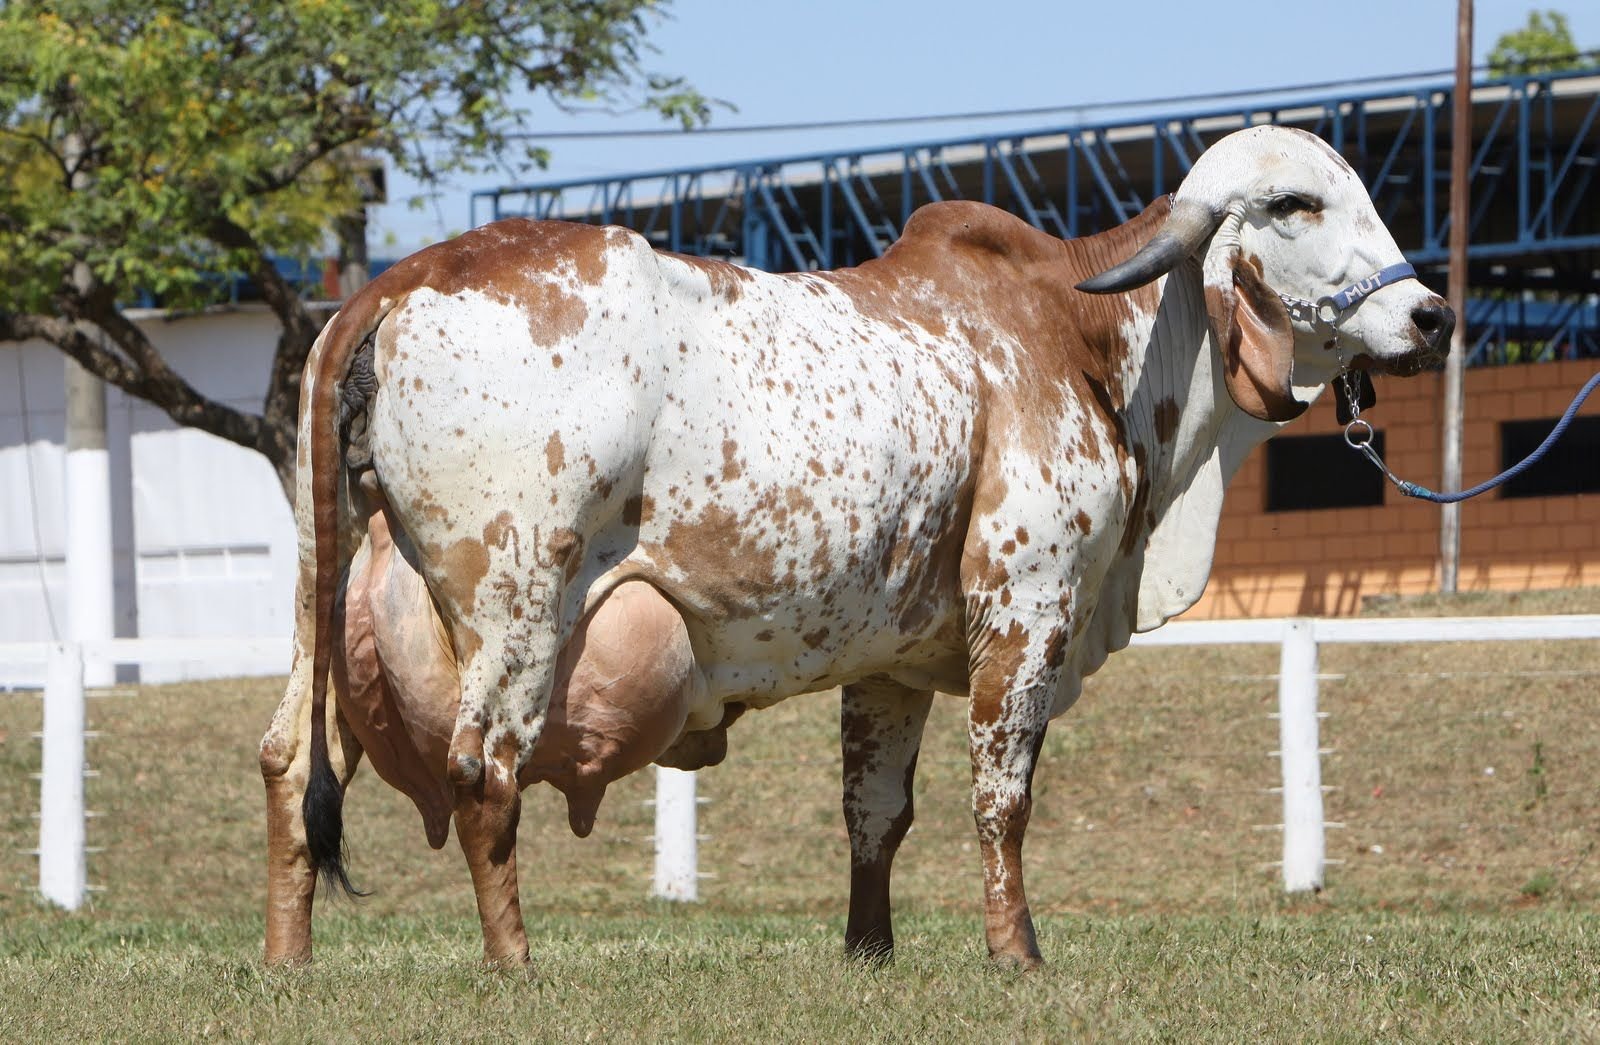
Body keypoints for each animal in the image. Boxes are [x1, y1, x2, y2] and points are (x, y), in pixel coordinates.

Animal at [259, 125, 1451, 969]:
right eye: (1295, 203)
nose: (1432, 316)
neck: (1080, 335)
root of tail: (403, 278)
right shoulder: (1029, 605)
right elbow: (1001, 796)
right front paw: (1016, 954)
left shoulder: (892, 661)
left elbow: (876, 813)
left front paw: (868, 951)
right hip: (517, 608)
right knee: (482, 772)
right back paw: (516, 965)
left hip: (324, 587)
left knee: (289, 759)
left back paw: (289, 960)